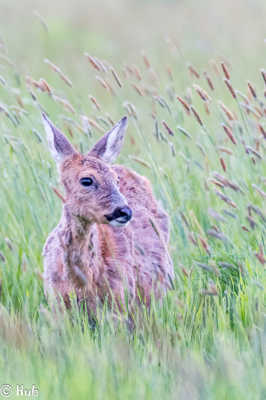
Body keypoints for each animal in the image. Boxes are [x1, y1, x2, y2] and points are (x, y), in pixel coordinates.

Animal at [41, 113, 175, 322]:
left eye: (115, 180)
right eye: (86, 180)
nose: (125, 211)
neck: (81, 283)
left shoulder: (119, 304)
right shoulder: (56, 304)